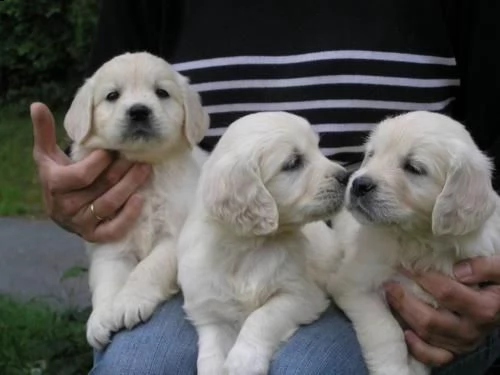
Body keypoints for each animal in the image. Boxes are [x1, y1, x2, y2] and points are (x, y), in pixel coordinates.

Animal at [64, 50, 209, 350]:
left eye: (162, 92)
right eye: (112, 96)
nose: (139, 111)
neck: (148, 173)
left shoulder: (175, 236)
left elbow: (148, 268)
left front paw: (129, 303)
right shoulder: (111, 243)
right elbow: (107, 279)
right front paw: (101, 318)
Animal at [178, 111, 350, 375]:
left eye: (317, 148)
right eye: (293, 162)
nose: (346, 176)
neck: (248, 248)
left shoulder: (300, 294)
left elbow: (262, 316)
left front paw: (244, 360)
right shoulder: (209, 311)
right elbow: (210, 351)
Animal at [320, 111, 500, 375]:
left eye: (413, 167)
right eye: (372, 154)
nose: (357, 184)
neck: (416, 240)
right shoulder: (352, 284)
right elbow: (387, 330)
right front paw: (392, 368)